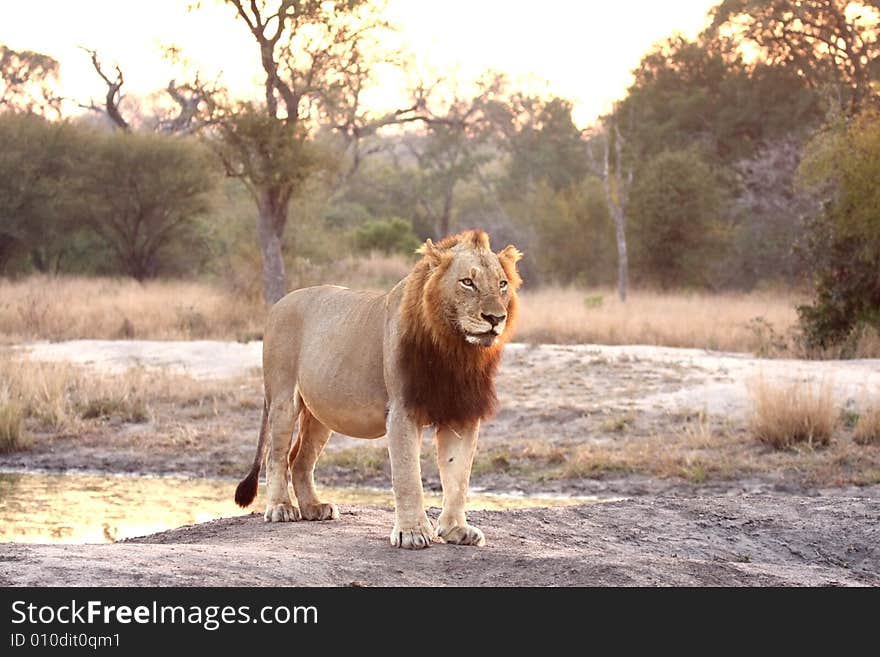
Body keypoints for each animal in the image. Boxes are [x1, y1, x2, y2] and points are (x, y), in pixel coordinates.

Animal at [234, 231, 524, 548]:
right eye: (468, 282)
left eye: (502, 284)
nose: (496, 318)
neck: (455, 350)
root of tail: (279, 303)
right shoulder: (401, 410)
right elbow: (408, 476)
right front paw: (412, 532)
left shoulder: (461, 413)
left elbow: (458, 476)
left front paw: (456, 530)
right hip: (283, 399)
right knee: (276, 455)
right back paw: (281, 508)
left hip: (321, 414)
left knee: (299, 459)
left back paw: (314, 508)